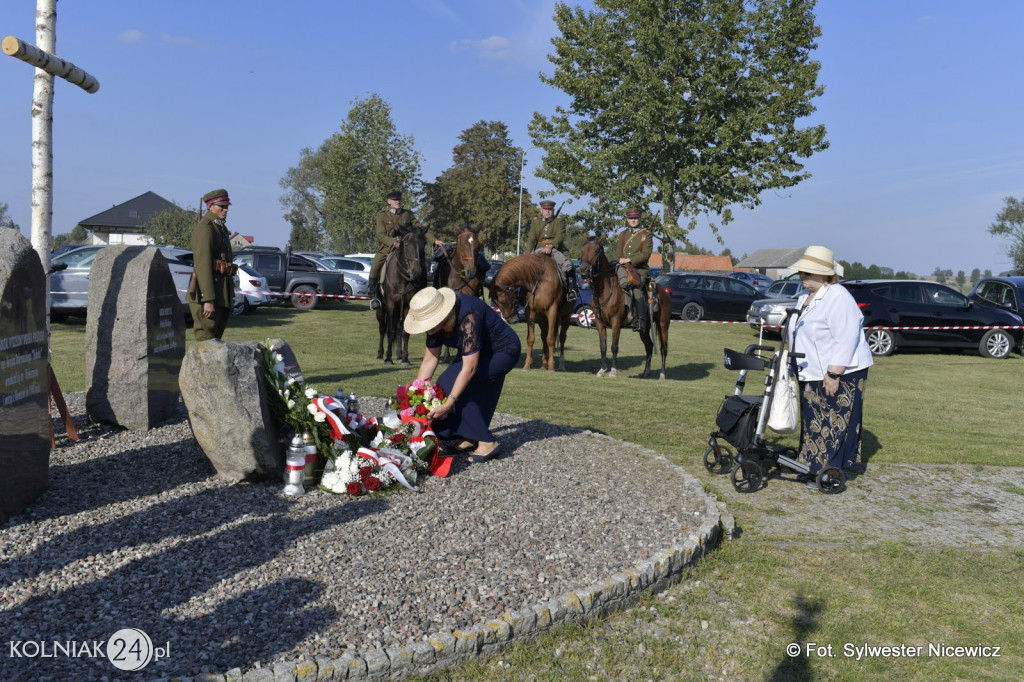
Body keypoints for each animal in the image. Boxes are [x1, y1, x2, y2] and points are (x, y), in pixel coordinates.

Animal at [374, 224, 425, 364]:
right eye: (406, 244)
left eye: (423, 244)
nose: (416, 272)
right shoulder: (390, 305)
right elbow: (390, 331)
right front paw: (388, 358)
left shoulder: (407, 305)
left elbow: (404, 331)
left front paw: (405, 359)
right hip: (381, 309)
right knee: (382, 328)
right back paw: (380, 353)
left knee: (398, 328)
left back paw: (399, 354)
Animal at [577, 236, 671, 378]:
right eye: (583, 249)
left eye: (597, 250)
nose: (583, 270)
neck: (605, 291)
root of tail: (664, 292)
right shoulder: (599, 323)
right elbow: (603, 346)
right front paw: (602, 370)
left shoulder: (616, 322)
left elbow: (614, 346)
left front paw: (613, 371)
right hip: (644, 329)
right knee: (649, 346)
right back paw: (646, 372)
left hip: (663, 325)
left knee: (663, 348)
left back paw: (662, 374)